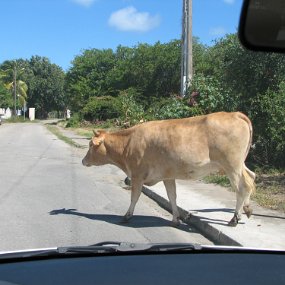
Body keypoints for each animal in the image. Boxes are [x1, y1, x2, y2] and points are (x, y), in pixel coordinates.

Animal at [81, 112, 254, 225]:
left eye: (90, 145)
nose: (83, 160)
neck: (127, 144)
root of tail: (235, 114)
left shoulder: (137, 175)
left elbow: (134, 196)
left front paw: (127, 216)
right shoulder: (168, 176)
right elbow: (172, 196)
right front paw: (176, 219)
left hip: (232, 165)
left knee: (243, 186)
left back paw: (235, 218)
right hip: (240, 164)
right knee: (251, 177)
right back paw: (247, 209)